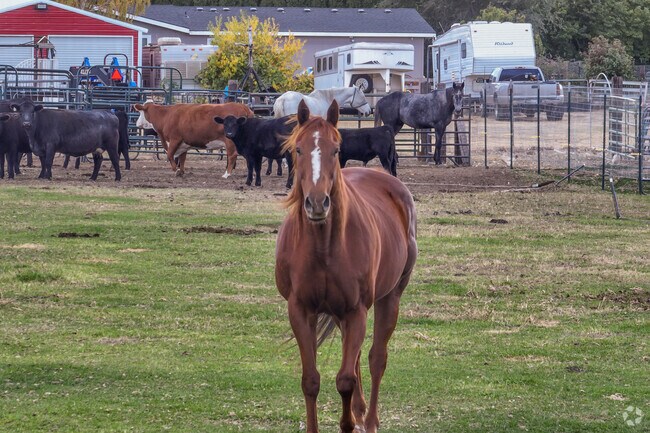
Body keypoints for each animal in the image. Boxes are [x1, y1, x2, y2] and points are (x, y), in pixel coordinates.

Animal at [275, 99, 418, 433]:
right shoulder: (300, 310)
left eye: (336, 149)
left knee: (376, 358)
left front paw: (349, 423)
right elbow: (311, 380)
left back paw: (370, 419)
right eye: (298, 149)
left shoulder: (355, 311)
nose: (317, 203)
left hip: (388, 298)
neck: (323, 247)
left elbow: (345, 380)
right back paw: (361, 410)